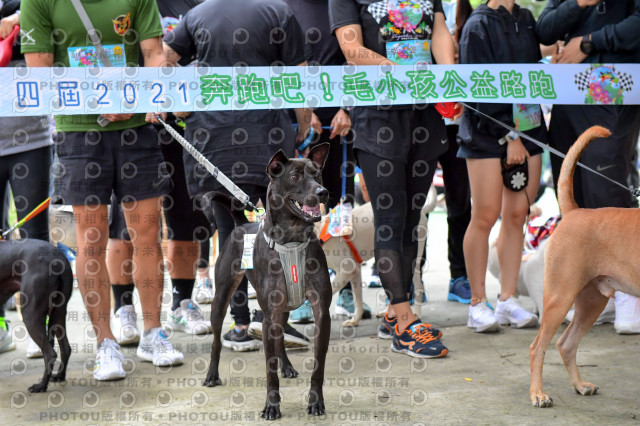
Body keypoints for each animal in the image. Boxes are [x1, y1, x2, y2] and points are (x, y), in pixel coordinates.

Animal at [0, 238, 73, 392]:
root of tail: (58, 257)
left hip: (30, 314)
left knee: (50, 353)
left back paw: (41, 386)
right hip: (58, 312)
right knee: (65, 348)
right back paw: (59, 376)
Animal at [205, 143, 332, 420]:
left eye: (317, 174)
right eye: (295, 176)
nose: (323, 192)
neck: (293, 240)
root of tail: (242, 224)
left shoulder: (321, 313)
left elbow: (318, 365)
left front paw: (316, 401)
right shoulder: (268, 316)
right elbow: (268, 368)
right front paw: (272, 405)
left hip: (282, 309)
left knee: (281, 337)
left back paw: (288, 366)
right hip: (221, 297)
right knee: (216, 340)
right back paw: (211, 374)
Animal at [528, 125, 636, 406]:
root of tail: (574, 211)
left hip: (591, 301)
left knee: (566, 344)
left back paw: (579, 386)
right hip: (560, 297)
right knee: (538, 347)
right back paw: (538, 394)